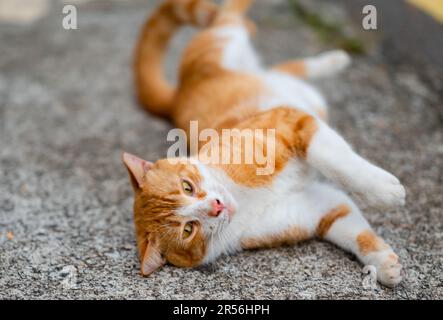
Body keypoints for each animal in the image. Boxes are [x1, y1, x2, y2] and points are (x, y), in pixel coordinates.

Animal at [121, 0, 406, 288]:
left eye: (187, 187)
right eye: (188, 229)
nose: (217, 206)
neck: (241, 197)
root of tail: (177, 96)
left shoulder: (287, 122)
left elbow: (335, 161)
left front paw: (383, 190)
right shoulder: (319, 207)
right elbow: (352, 230)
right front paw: (383, 264)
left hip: (224, 43)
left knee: (231, 19)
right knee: (285, 69)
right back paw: (334, 60)